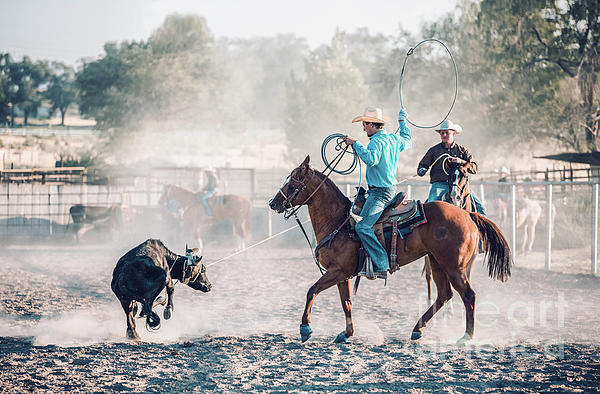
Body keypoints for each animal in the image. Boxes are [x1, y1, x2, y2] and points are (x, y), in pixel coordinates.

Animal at [268, 155, 510, 344]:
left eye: (293, 182)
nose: (273, 203)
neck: (338, 221)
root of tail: (467, 214)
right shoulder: (342, 274)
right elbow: (346, 302)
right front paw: (347, 333)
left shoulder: (337, 271)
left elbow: (312, 290)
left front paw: (305, 328)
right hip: (436, 261)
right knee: (444, 295)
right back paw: (417, 329)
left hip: (454, 266)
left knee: (468, 295)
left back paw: (466, 337)